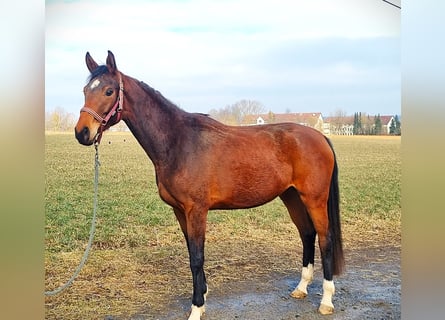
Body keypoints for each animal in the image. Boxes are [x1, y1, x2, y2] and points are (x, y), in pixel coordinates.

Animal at [74, 51, 344, 318]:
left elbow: (197, 257)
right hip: (291, 196)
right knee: (307, 234)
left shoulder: (196, 211)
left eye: (109, 91)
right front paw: (202, 295)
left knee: (325, 238)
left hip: (314, 199)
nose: (82, 132)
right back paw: (301, 288)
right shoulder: (180, 211)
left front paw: (196, 307)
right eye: (85, 90)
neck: (178, 142)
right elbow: (191, 254)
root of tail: (320, 136)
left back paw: (326, 301)